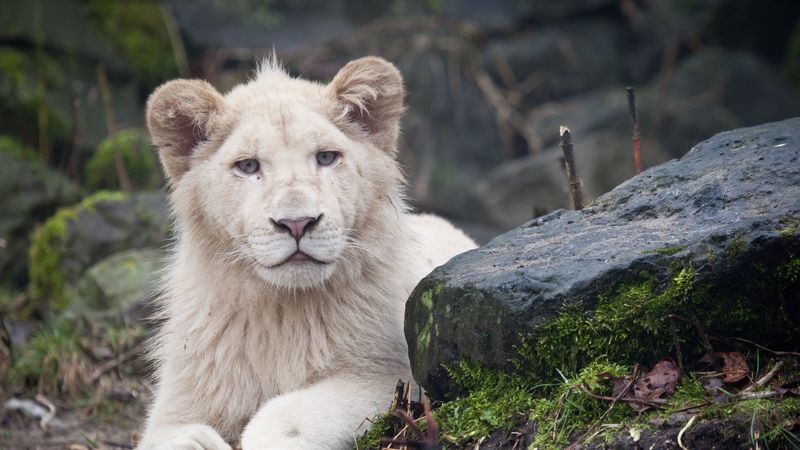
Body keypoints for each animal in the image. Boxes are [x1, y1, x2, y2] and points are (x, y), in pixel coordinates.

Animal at [138, 56, 477, 449]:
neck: (284, 312)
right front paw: (199, 440)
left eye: (326, 157)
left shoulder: (390, 375)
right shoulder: (175, 407)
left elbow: (286, 415)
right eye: (248, 165)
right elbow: (171, 435)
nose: (297, 223)